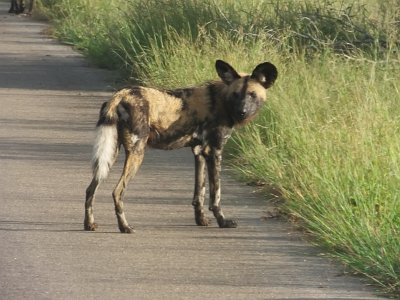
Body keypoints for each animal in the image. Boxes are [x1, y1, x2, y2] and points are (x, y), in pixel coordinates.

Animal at [84, 59, 278, 233]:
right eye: (236, 94)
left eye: (252, 94)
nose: (242, 112)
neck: (222, 101)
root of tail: (120, 95)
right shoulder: (215, 152)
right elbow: (216, 195)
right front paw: (223, 221)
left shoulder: (199, 152)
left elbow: (199, 193)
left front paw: (201, 220)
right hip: (136, 153)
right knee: (117, 192)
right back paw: (125, 227)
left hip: (110, 154)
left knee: (90, 189)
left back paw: (89, 224)